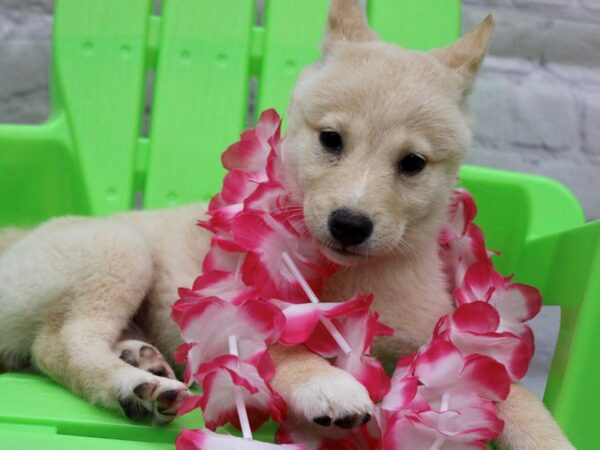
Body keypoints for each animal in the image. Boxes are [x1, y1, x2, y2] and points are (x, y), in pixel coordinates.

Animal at [0, 1, 572, 448]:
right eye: (331, 140)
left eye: (412, 163)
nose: (349, 224)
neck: (357, 282)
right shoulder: (229, 314)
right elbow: (284, 348)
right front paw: (328, 384)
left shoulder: (446, 345)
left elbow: (521, 401)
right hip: (119, 253)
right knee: (61, 343)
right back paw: (132, 387)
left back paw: (142, 357)